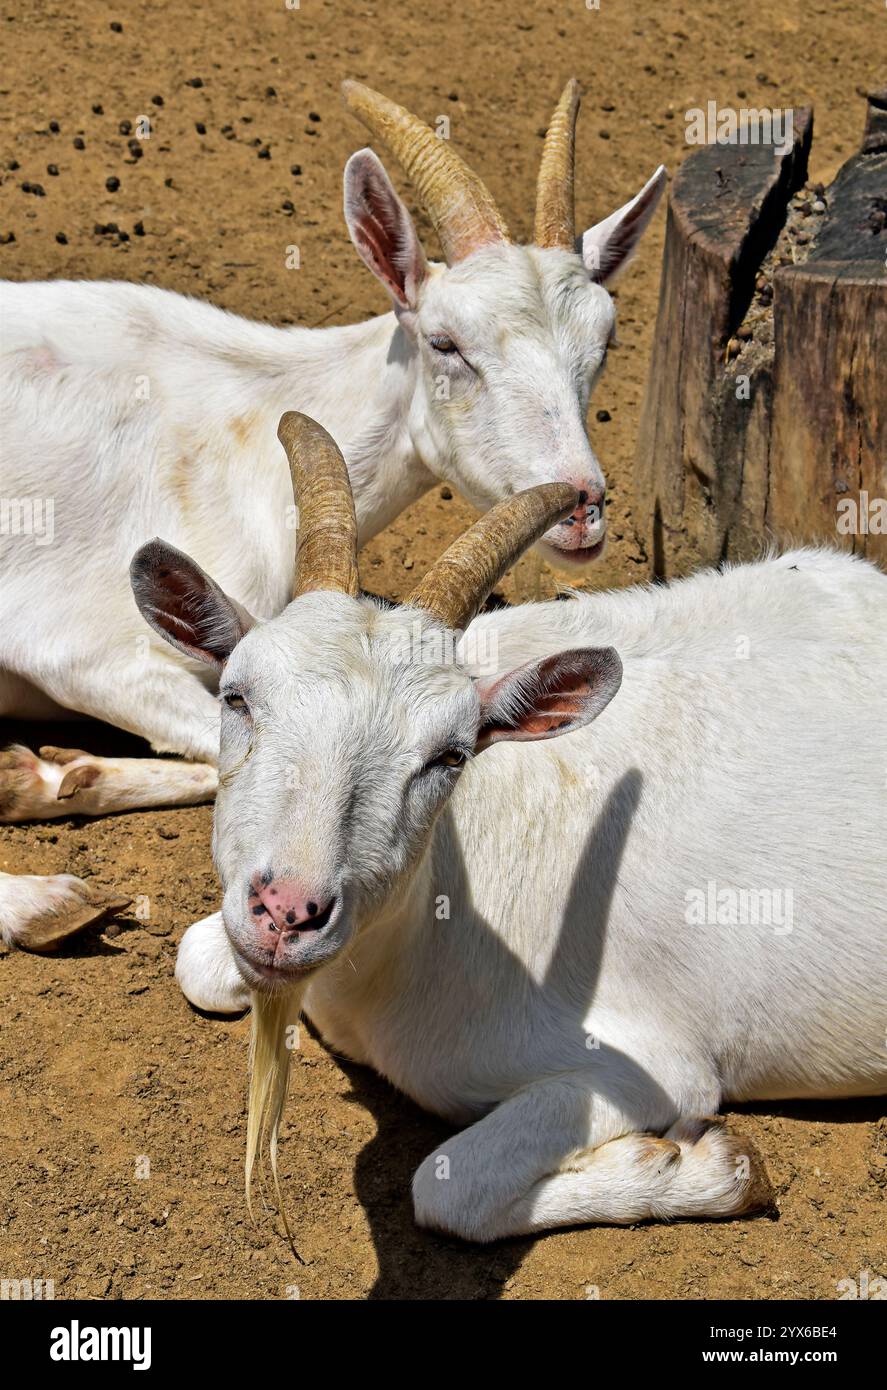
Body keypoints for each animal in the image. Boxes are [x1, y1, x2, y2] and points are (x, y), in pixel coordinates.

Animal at [0, 80, 665, 949]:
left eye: (605, 342)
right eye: (446, 343)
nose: (582, 510)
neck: (246, 423)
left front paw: (52, 773)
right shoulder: (83, 647)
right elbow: (212, 748)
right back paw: (42, 898)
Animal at [131, 413, 887, 1239]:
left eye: (450, 755)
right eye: (236, 697)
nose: (286, 915)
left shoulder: (648, 1066)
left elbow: (448, 1187)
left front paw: (710, 1166)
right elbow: (196, 959)